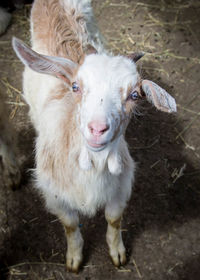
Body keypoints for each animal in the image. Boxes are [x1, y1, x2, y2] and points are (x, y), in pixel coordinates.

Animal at [11, 0, 176, 272]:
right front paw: (74, 258)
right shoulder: (55, 195)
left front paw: (117, 253)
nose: (97, 129)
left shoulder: (121, 186)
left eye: (134, 95)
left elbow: (114, 219)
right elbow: (69, 224)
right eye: (75, 86)